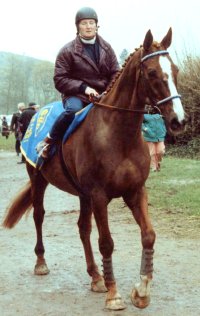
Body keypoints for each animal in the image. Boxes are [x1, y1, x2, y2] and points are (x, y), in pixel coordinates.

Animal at [1, 29, 186, 312]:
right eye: (153, 72)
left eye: (175, 70)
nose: (179, 120)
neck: (117, 134)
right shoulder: (99, 196)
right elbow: (106, 243)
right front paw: (114, 294)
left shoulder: (135, 192)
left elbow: (148, 236)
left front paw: (141, 290)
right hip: (39, 181)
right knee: (39, 216)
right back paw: (42, 263)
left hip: (82, 195)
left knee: (82, 228)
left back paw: (96, 276)